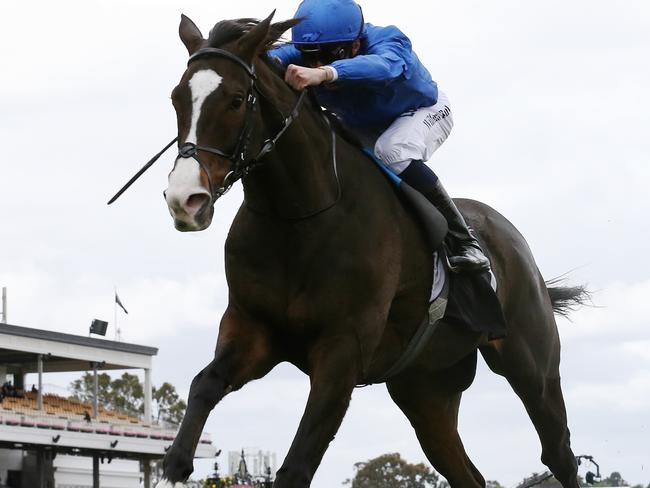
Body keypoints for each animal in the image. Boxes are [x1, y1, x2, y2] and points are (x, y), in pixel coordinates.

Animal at [153, 13, 588, 488]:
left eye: (234, 100)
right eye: (176, 99)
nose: (184, 199)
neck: (299, 216)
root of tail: (516, 245)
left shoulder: (343, 352)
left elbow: (297, 464)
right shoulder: (252, 330)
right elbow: (203, 387)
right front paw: (175, 464)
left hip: (532, 366)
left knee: (559, 453)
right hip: (426, 389)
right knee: (467, 473)